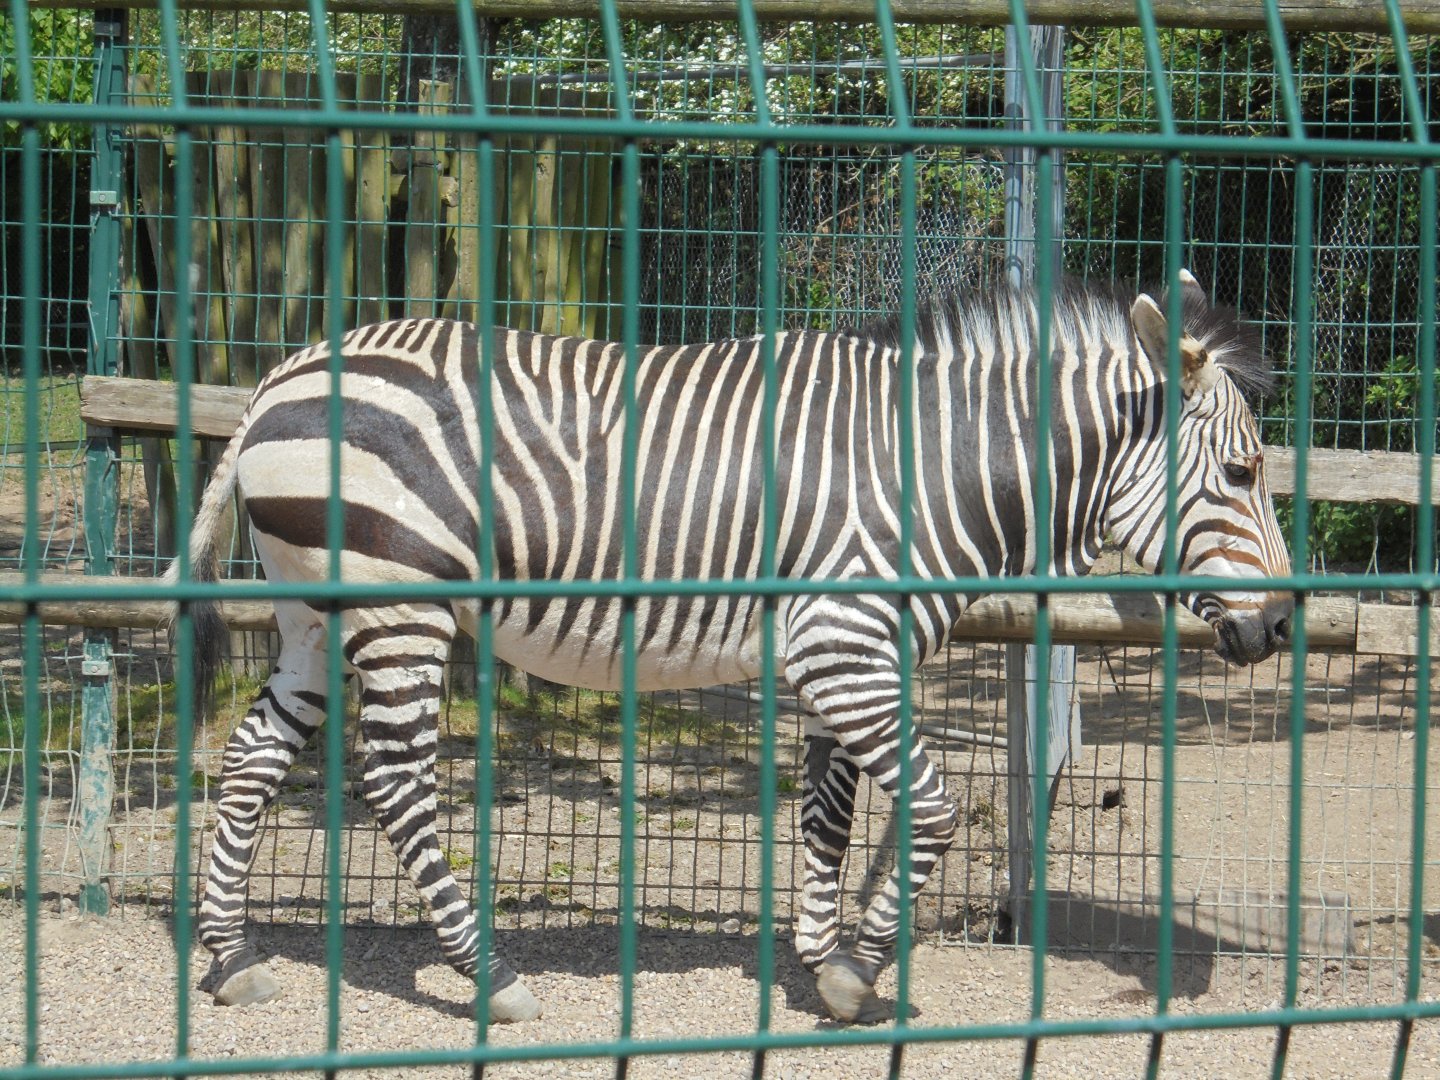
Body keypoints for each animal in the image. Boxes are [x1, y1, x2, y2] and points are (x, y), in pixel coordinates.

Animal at [173, 269, 1292, 1024]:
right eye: (1241, 474)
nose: (1281, 626)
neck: (939, 468)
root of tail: (277, 378)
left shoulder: (841, 653)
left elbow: (830, 813)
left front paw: (819, 957)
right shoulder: (844, 647)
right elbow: (926, 808)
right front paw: (860, 974)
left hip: (315, 618)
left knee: (253, 757)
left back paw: (230, 958)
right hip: (397, 603)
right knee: (395, 783)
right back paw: (490, 977)